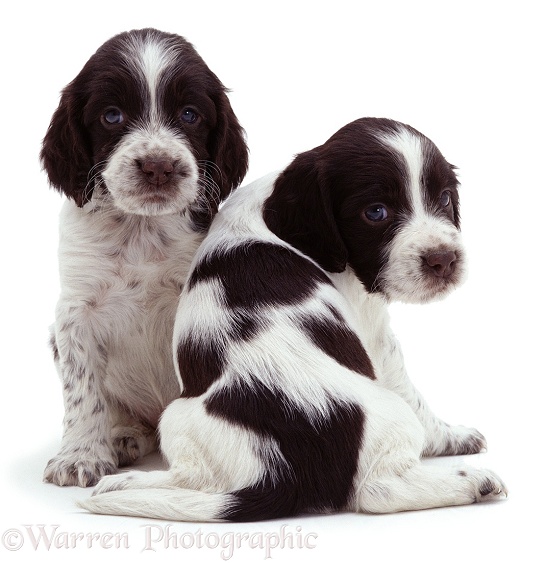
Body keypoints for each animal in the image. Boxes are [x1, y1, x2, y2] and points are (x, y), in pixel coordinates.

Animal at [41, 26, 249, 486]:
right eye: (111, 116)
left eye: (189, 114)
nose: (157, 166)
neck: (142, 229)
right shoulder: (75, 311)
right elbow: (82, 390)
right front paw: (80, 456)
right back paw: (122, 435)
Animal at [78, 118, 504, 520]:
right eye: (375, 213)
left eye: (444, 198)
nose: (443, 260)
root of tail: (286, 474)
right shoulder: (376, 335)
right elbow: (415, 396)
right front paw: (454, 437)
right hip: (389, 417)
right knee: (381, 489)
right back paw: (474, 482)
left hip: (179, 417)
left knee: (194, 478)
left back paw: (124, 483)